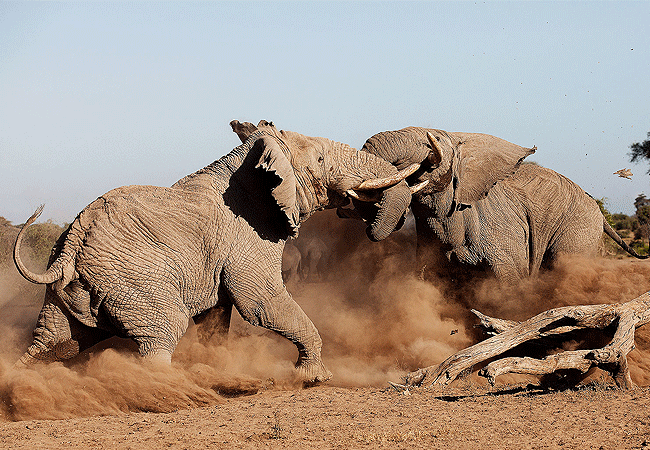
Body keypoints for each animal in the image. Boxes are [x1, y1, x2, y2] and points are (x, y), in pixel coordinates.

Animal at [11, 119, 416, 384]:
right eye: (319, 161)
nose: (368, 223)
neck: (249, 165)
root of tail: (73, 240)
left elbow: (217, 315)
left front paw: (215, 364)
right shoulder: (247, 236)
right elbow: (262, 303)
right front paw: (314, 378)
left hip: (69, 290)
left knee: (56, 342)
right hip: (134, 279)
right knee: (164, 329)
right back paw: (169, 388)